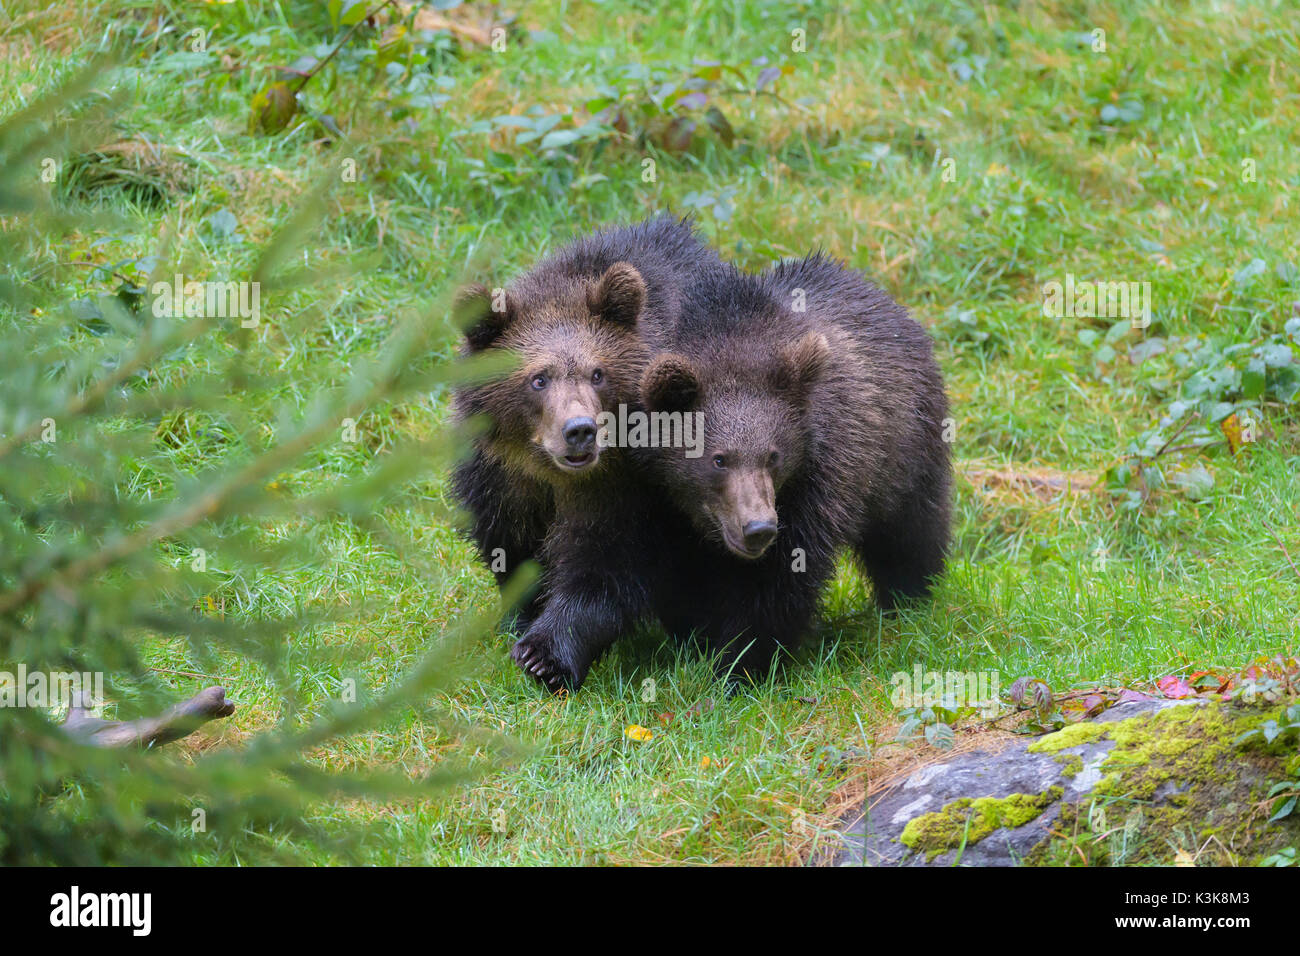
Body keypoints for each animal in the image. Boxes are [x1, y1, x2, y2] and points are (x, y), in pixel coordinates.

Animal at [449, 216, 724, 688]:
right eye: (538, 379)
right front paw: (520, 619)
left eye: (598, 373)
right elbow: (509, 545)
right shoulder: (499, 477)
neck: (549, 472)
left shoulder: (626, 485)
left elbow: (607, 563)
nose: (580, 430)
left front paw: (544, 655)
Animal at [638, 253, 952, 679]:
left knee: (911, 531)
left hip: (905, 455)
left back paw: (911, 597)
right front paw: (699, 642)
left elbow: (782, 582)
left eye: (773, 455)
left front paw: (743, 662)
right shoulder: (657, 503)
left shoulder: (818, 479)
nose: (758, 528)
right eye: (718, 459)